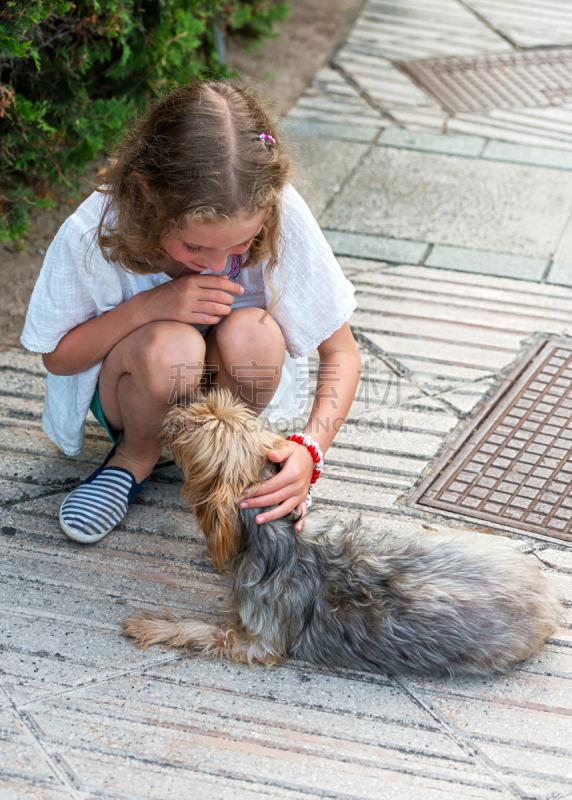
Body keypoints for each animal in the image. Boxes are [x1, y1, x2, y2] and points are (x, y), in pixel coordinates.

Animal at [123, 390, 564, 676]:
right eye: (209, 406)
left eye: (196, 427)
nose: (180, 404)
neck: (277, 534)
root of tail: (546, 600)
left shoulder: (262, 640)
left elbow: (204, 630)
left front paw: (152, 626)